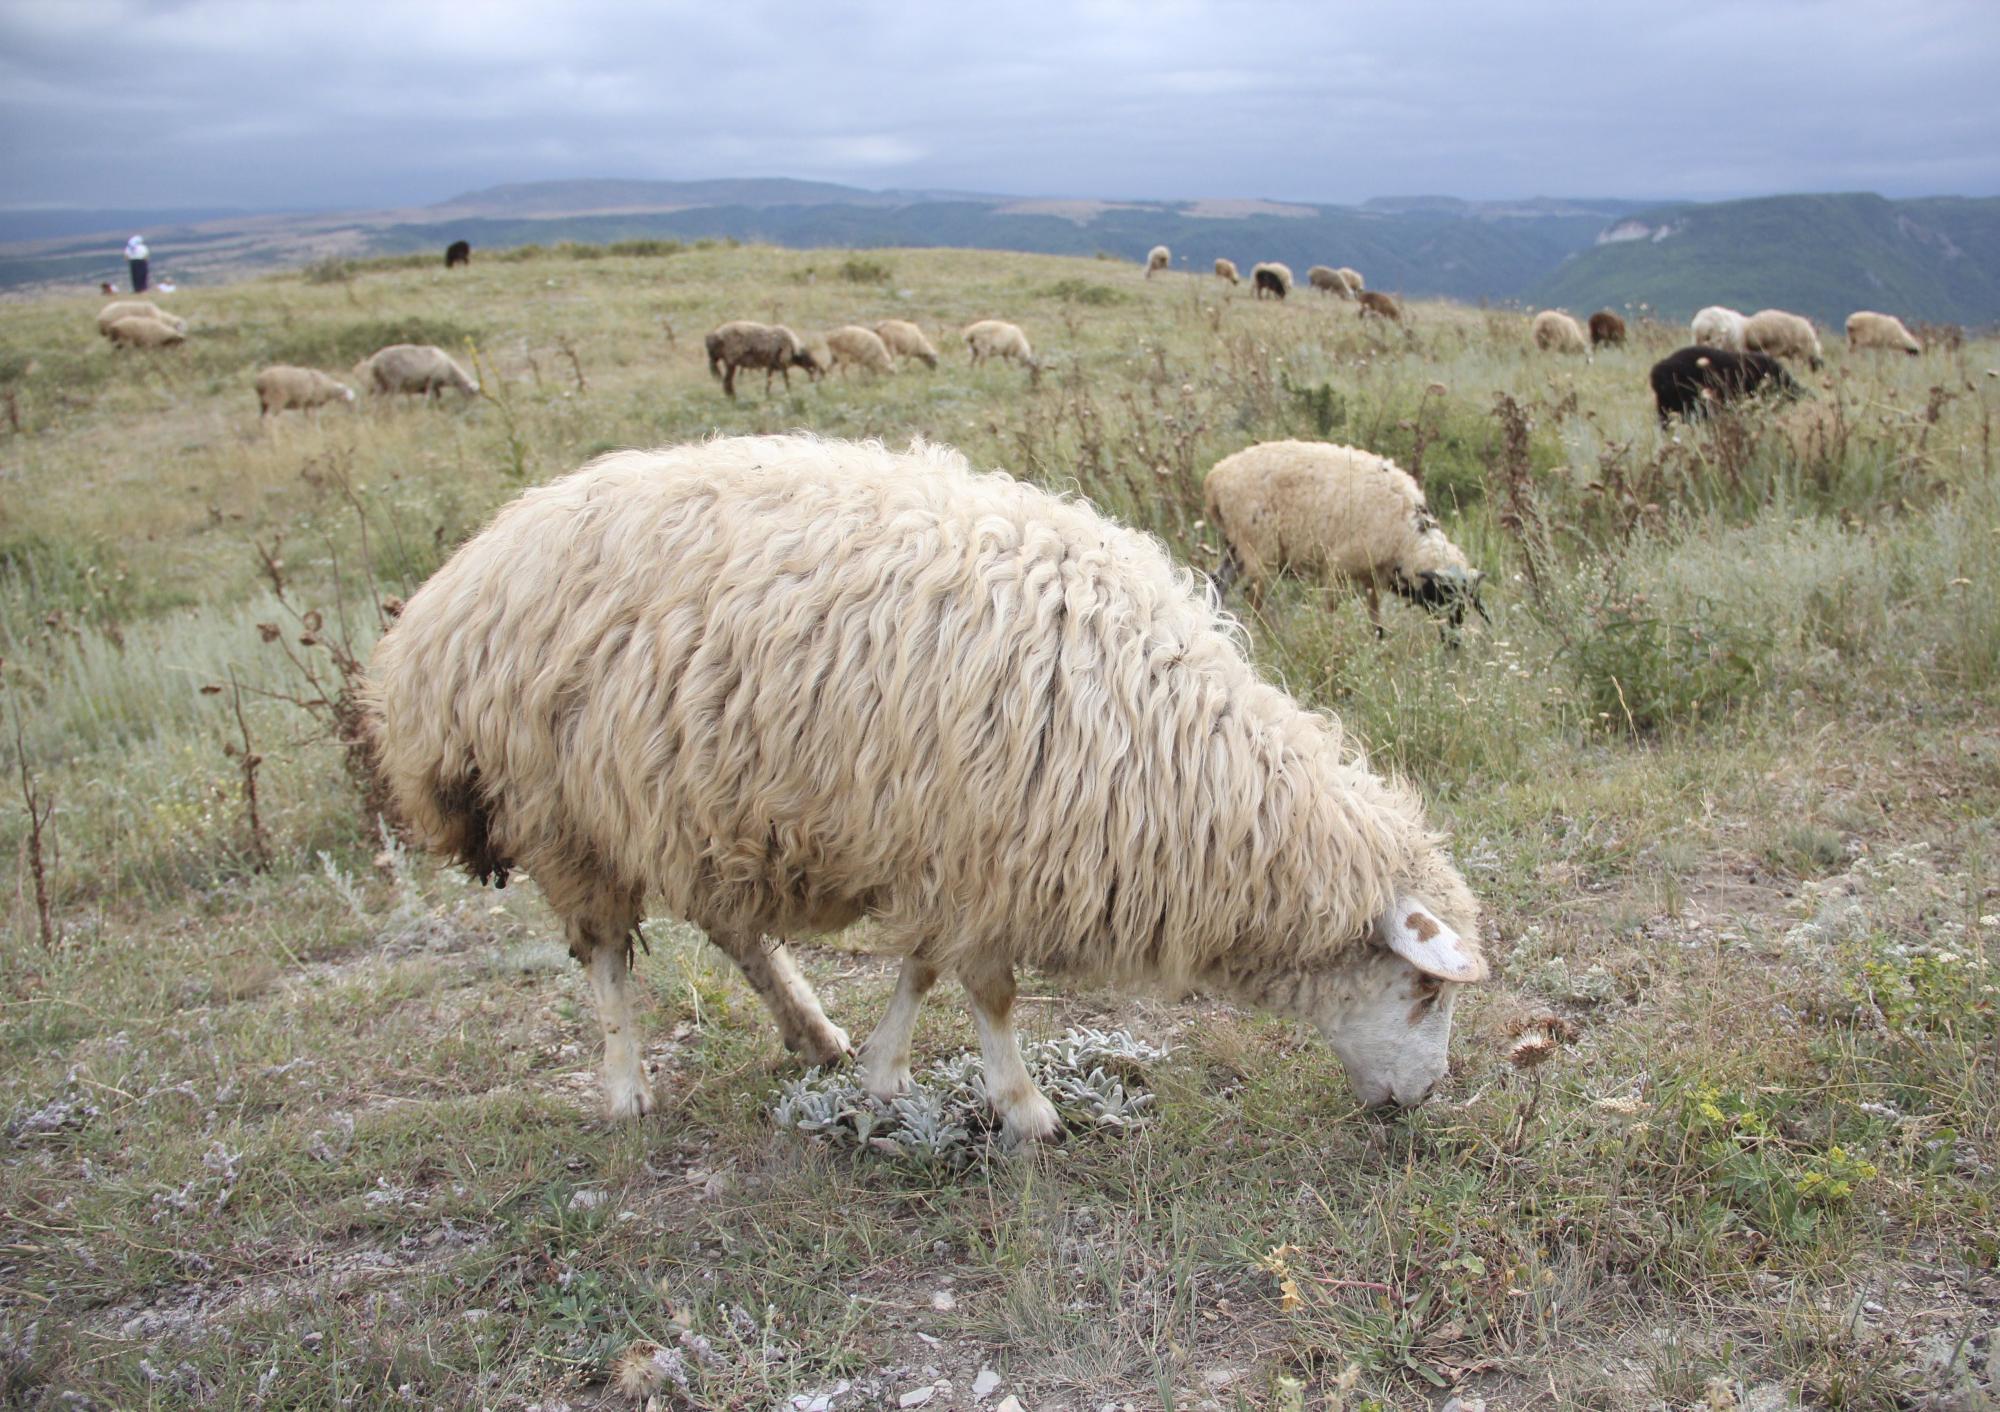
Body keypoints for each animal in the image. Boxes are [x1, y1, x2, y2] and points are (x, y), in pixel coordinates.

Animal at [1200, 440, 1488, 632]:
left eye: (1465, 602)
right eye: (1442, 595)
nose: (1453, 642)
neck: (1407, 538)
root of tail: (1215, 478)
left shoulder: (1371, 576)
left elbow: (1375, 620)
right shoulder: (1336, 569)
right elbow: (1331, 612)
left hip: (1236, 547)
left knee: (1217, 584)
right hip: (1261, 549)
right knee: (1253, 599)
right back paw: (1275, 638)